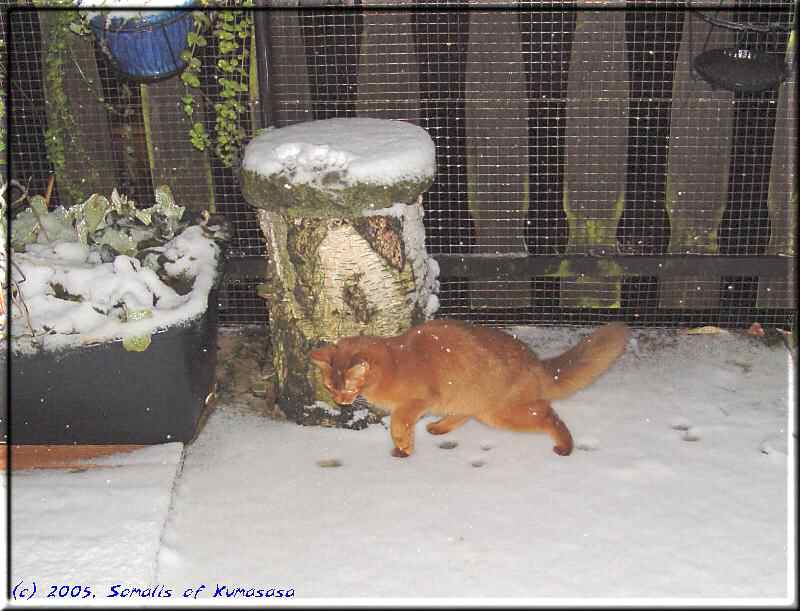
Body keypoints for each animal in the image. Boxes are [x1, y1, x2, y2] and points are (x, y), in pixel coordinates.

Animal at [310, 320, 628, 460]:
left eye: (347, 386)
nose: (339, 401)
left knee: (548, 413)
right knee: (464, 414)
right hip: (474, 401)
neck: (393, 362)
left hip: (502, 412)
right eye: (330, 386)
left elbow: (399, 422)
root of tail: (535, 361)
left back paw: (565, 446)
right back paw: (439, 427)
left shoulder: (418, 401)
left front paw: (403, 446)